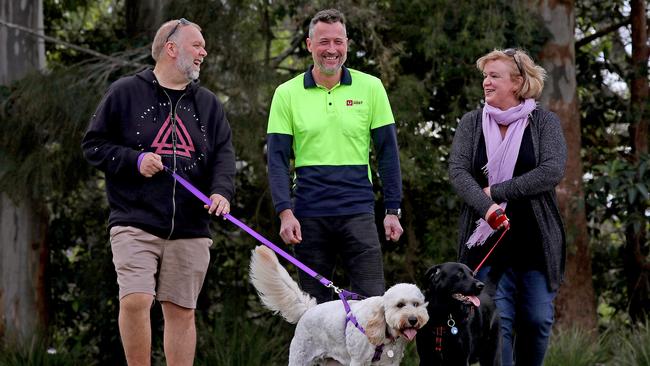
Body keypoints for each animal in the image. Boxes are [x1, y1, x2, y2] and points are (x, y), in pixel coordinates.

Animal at [247, 244, 426, 364]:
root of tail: (308, 310)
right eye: (400, 305)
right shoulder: (358, 362)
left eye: (416, 304)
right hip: (300, 358)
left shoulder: (391, 363)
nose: (413, 320)